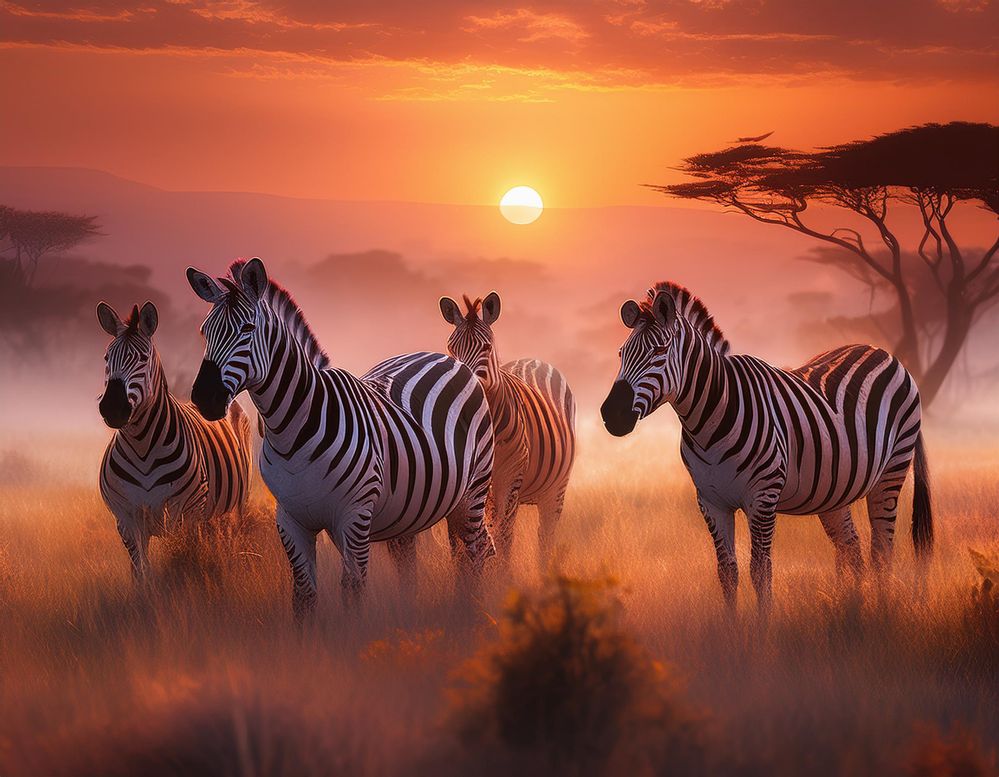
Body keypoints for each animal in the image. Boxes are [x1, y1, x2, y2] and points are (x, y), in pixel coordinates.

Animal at [97, 300, 252, 580]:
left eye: (143, 359)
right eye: (106, 358)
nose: (113, 408)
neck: (142, 446)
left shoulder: (185, 512)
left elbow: (184, 561)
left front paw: (188, 586)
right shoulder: (127, 518)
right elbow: (141, 572)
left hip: (234, 507)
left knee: (229, 541)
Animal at [186, 258, 498, 616]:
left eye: (248, 330)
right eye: (204, 332)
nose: (204, 398)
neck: (292, 430)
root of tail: (448, 358)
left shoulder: (354, 518)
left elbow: (352, 591)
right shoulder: (290, 519)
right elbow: (304, 595)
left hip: (473, 491)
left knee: (475, 552)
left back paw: (470, 607)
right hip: (411, 511)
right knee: (417, 563)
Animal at [440, 292, 580, 564]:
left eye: (486, 348)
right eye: (451, 348)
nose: (461, 387)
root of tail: (533, 360)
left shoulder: (510, 478)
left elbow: (503, 537)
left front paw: (502, 574)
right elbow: (459, 541)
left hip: (556, 488)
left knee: (544, 536)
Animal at [596, 282, 932, 616]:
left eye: (659, 351)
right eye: (621, 353)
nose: (612, 414)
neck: (709, 419)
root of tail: (884, 353)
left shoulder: (763, 496)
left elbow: (760, 571)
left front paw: (763, 628)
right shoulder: (711, 501)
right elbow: (727, 572)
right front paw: (732, 630)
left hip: (891, 472)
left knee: (882, 552)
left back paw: (881, 612)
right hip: (835, 491)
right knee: (852, 547)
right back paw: (854, 609)